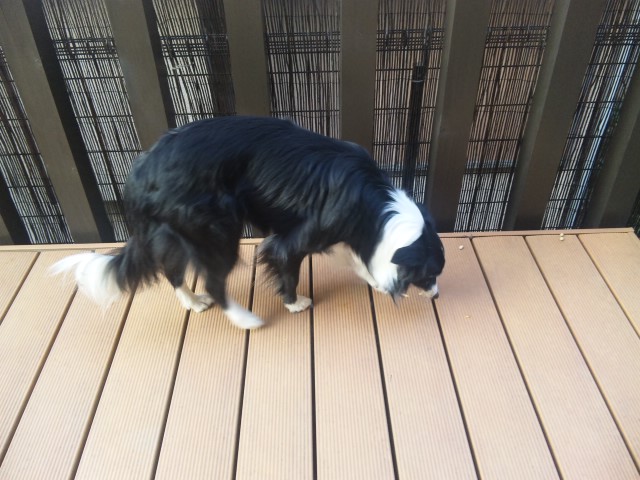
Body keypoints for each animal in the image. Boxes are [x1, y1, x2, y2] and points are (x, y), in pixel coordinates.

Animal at [51, 116, 445, 329]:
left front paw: (374, 279)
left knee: (173, 270)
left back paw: (192, 302)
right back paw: (246, 320)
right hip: (217, 230)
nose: (438, 294)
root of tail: (140, 171)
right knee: (214, 282)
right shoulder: (293, 240)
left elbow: (359, 257)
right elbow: (289, 268)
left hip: (177, 233)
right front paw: (294, 303)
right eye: (431, 273)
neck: (374, 202)